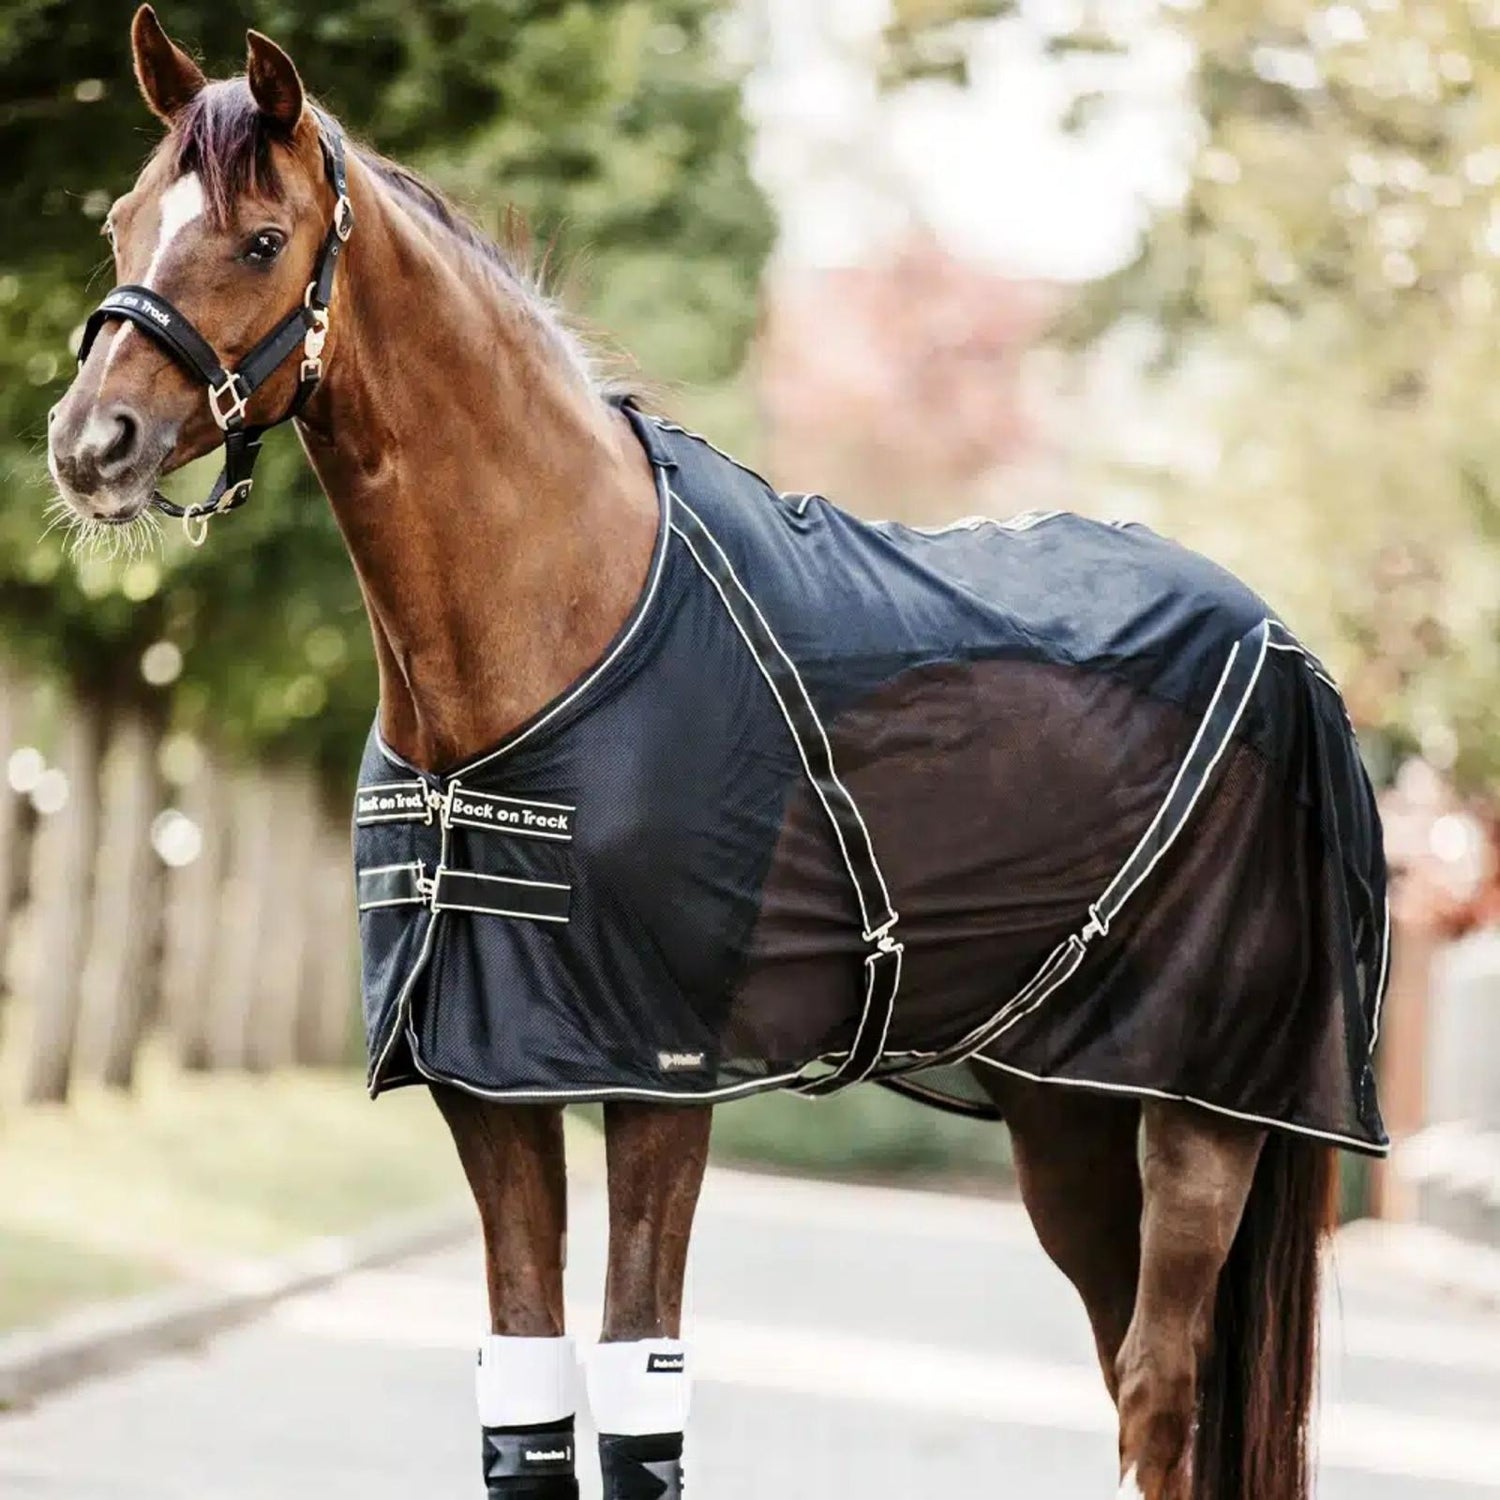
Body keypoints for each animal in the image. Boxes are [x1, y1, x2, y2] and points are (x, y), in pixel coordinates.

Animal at [45, 11, 1390, 1499]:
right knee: (1139, 1375)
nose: (89, 445)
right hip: (1073, 1110)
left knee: (1162, 1390)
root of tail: (1286, 646)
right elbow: (526, 1390)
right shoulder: (488, 1077)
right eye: (119, 220)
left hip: (1207, 1108)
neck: (562, 617)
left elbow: (642, 1395)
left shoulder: (659, 1074)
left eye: (263, 239)